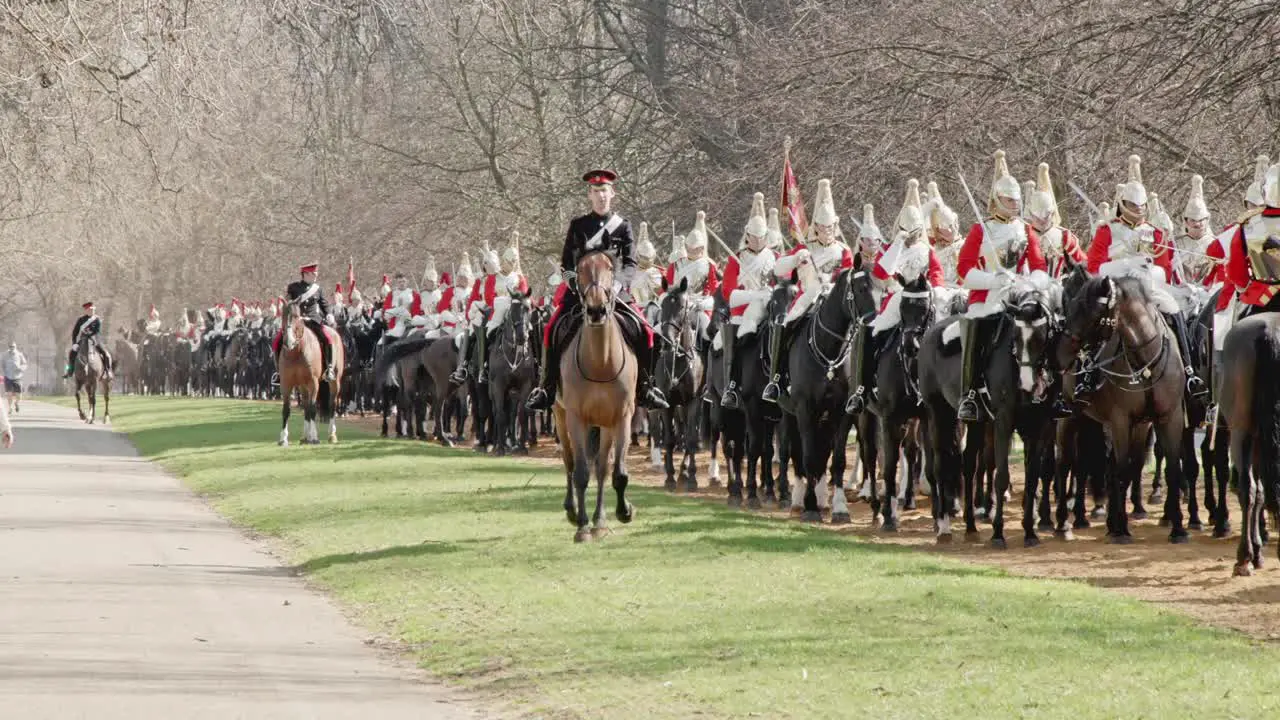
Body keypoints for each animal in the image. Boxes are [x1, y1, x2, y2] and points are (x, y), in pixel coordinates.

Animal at [276, 297, 345, 443]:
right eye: (283, 316)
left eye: (296, 316)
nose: (288, 341)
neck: (296, 352)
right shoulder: (286, 383)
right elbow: (286, 409)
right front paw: (283, 438)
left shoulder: (313, 382)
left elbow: (313, 408)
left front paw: (313, 437)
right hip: (302, 386)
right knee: (306, 406)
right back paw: (304, 436)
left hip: (334, 381)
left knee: (331, 404)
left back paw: (331, 434)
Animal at [555, 249, 640, 540]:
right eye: (580, 269)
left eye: (610, 269)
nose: (595, 310)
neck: (601, 362)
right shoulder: (576, 417)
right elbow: (581, 472)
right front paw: (582, 527)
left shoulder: (622, 417)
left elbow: (617, 472)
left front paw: (623, 512)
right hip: (559, 414)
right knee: (569, 462)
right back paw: (572, 510)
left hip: (605, 424)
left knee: (602, 468)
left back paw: (600, 520)